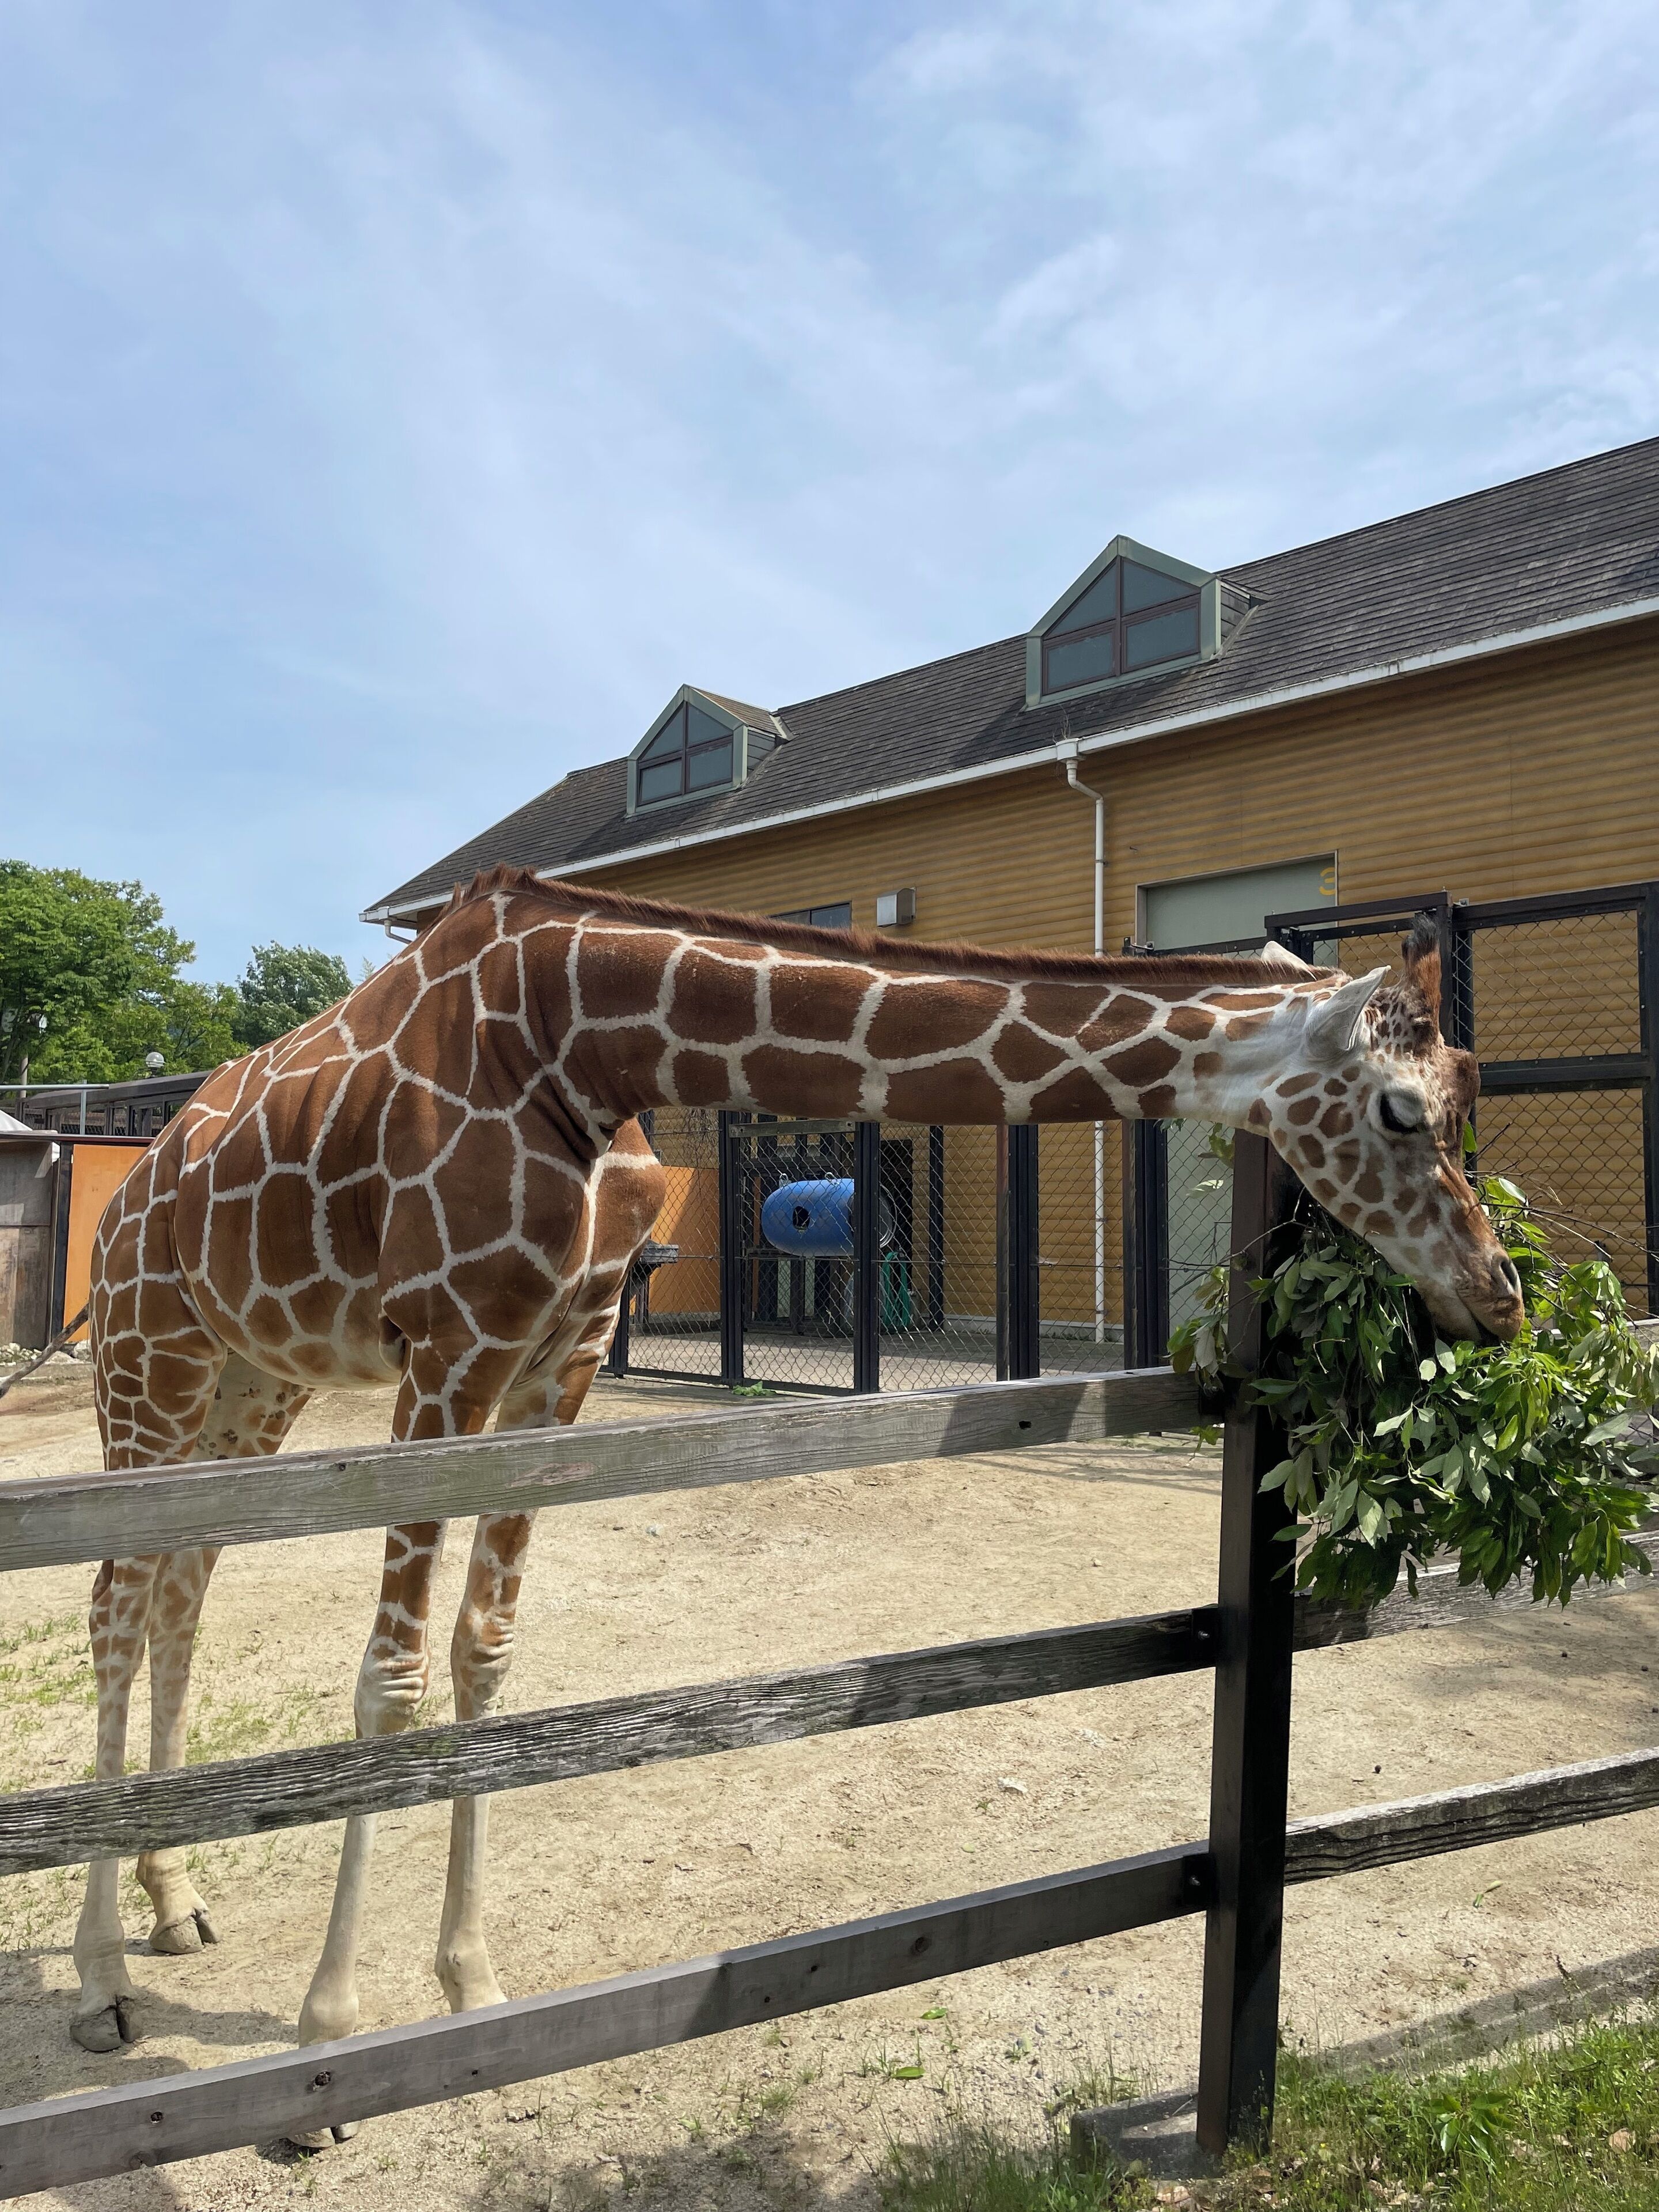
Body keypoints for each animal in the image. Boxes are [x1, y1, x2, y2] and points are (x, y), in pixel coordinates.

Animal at [74, 871, 1521, 2107]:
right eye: (1403, 1110)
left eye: (1464, 1106)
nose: (1495, 1297)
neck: (584, 1043)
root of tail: (139, 1177)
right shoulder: (448, 1348)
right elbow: (393, 1681)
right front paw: (324, 2043)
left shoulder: (557, 1357)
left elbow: (485, 1656)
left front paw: (470, 1987)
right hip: (154, 1352)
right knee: (114, 1601)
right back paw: (98, 1982)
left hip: (256, 1377)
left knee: (180, 1592)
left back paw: (172, 1902)